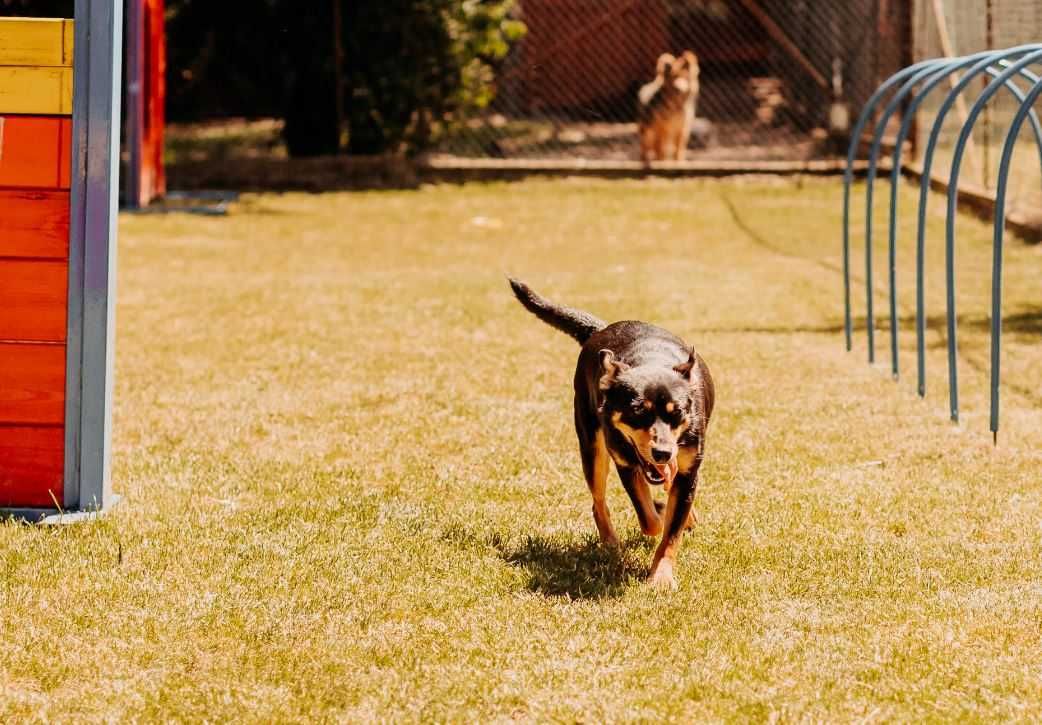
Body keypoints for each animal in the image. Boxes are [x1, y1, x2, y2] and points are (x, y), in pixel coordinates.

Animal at [508, 277, 712, 587]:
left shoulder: (689, 469)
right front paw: (659, 515)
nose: (662, 452)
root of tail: (600, 329)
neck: (652, 361)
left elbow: (671, 532)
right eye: (638, 412)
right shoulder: (625, 463)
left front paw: (661, 577)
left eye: (676, 411)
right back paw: (611, 542)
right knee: (598, 501)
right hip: (591, 446)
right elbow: (651, 522)